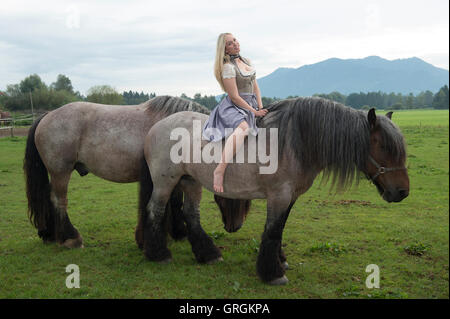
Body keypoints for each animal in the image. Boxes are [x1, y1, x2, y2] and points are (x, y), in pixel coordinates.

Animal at [22, 95, 251, 250]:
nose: (235, 226)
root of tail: (47, 115)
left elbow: (174, 202)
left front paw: (177, 232)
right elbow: (170, 202)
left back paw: (49, 234)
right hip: (61, 172)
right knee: (58, 200)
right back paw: (70, 237)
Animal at [141, 97, 412, 284]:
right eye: (383, 147)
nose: (402, 192)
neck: (295, 143)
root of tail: (156, 127)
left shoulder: (290, 197)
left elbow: (279, 229)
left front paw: (280, 261)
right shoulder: (279, 196)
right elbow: (272, 231)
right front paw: (272, 273)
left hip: (190, 181)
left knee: (191, 215)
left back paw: (207, 254)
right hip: (166, 183)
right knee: (155, 210)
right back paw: (158, 254)